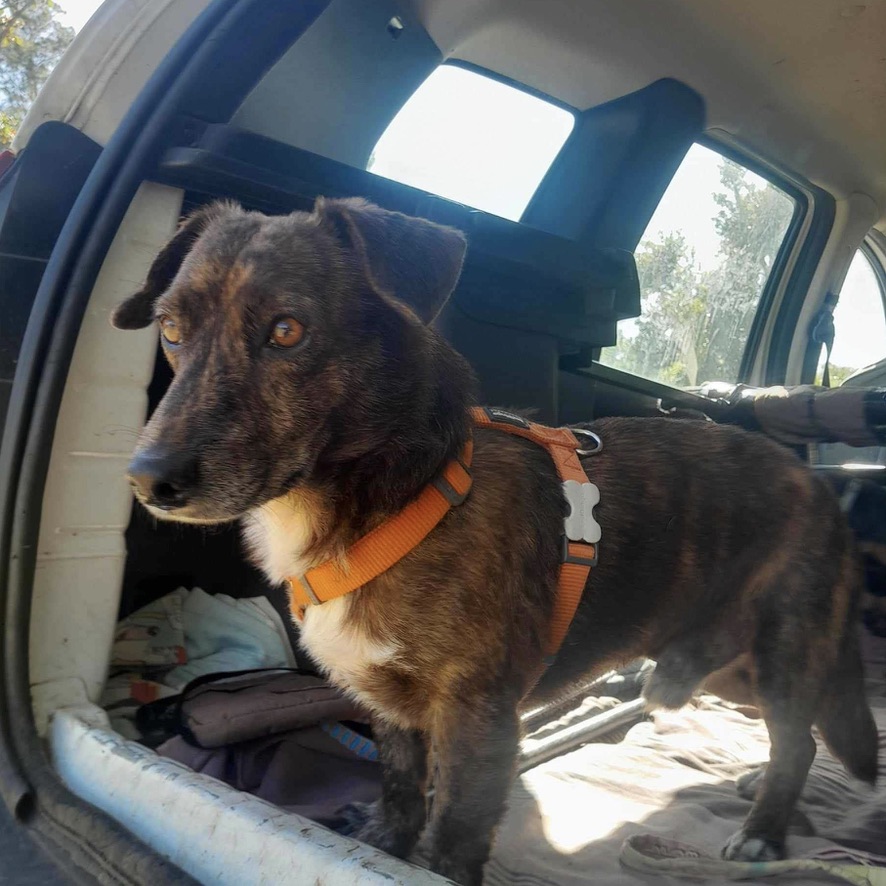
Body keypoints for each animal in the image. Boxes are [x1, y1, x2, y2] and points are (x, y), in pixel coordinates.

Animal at [112, 198, 880, 884]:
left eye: (287, 330)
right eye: (171, 328)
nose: (148, 480)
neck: (386, 499)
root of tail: (820, 484)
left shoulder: (478, 720)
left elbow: (454, 834)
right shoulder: (392, 707)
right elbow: (401, 792)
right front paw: (385, 845)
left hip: (786, 650)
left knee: (797, 740)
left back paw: (764, 831)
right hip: (723, 663)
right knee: (792, 730)